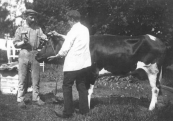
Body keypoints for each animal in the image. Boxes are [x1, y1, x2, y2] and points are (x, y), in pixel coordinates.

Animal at [36, 33, 166, 110]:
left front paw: (86, 108)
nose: (36, 55)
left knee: (155, 89)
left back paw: (151, 108)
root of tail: (158, 40)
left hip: (153, 70)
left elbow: (88, 91)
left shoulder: (92, 72)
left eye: (47, 44)